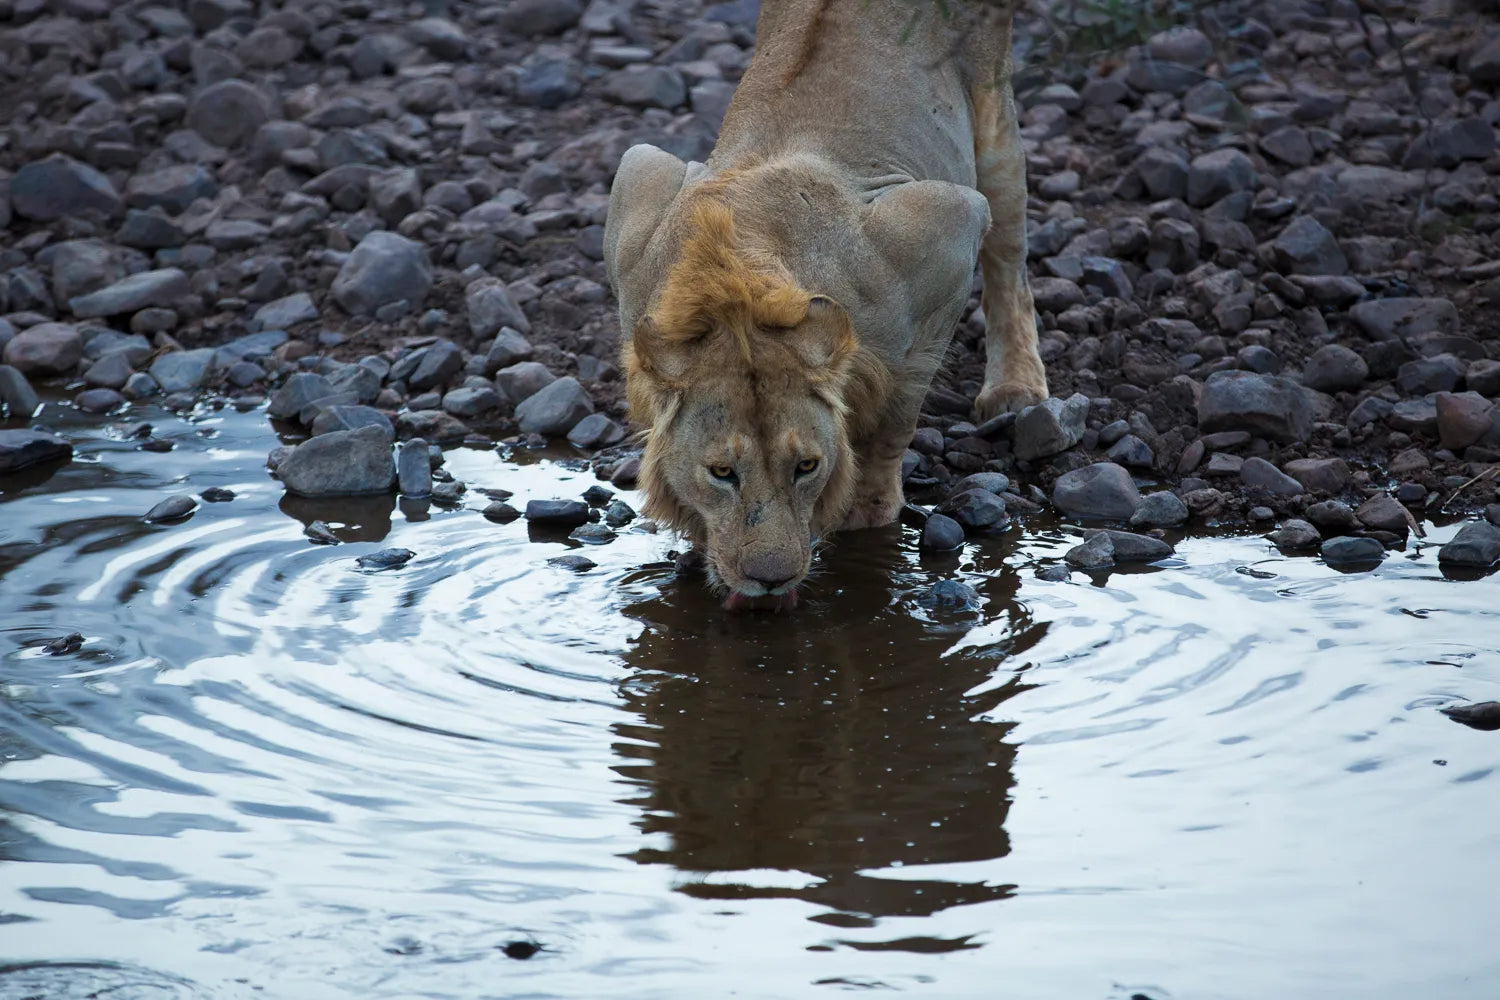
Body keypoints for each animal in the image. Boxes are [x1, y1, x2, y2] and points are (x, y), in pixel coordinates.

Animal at [603, 0, 1048, 610]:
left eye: (806, 467)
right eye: (721, 472)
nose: (771, 579)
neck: (737, 295)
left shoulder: (949, 223)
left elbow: (896, 411)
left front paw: (866, 509)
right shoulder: (639, 179)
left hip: (992, 111)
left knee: (1009, 254)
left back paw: (1016, 388)